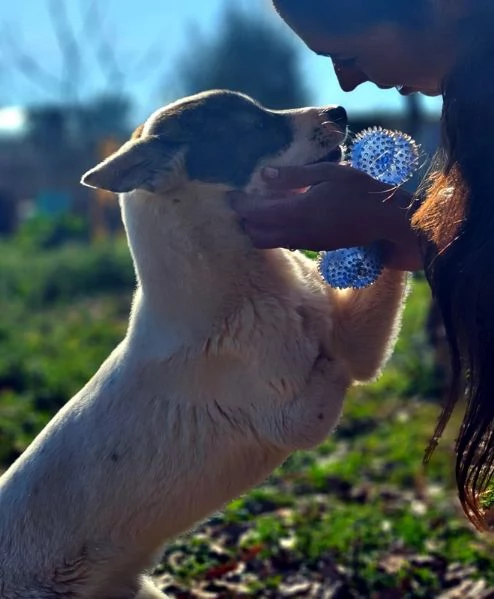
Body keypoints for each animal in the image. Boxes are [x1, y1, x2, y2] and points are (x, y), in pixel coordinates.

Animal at [0, 86, 410, 596]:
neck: (242, 289)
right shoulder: (299, 417)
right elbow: (332, 367)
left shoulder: (359, 340)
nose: (339, 110)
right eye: (252, 126)